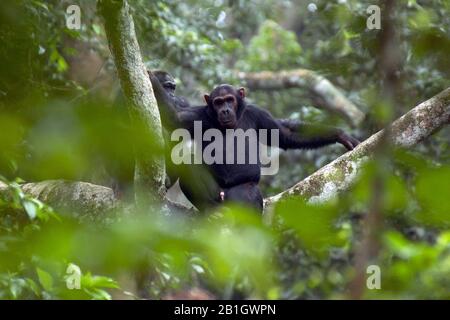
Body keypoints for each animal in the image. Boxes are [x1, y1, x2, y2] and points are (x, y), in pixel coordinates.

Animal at [149, 72, 360, 212]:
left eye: (229, 99)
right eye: (218, 102)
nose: (225, 110)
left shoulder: (259, 114)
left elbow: (285, 134)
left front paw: (340, 135)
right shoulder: (196, 115)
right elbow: (174, 118)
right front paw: (151, 77)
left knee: (250, 191)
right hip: (217, 194)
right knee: (189, 164)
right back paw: (211, 211)